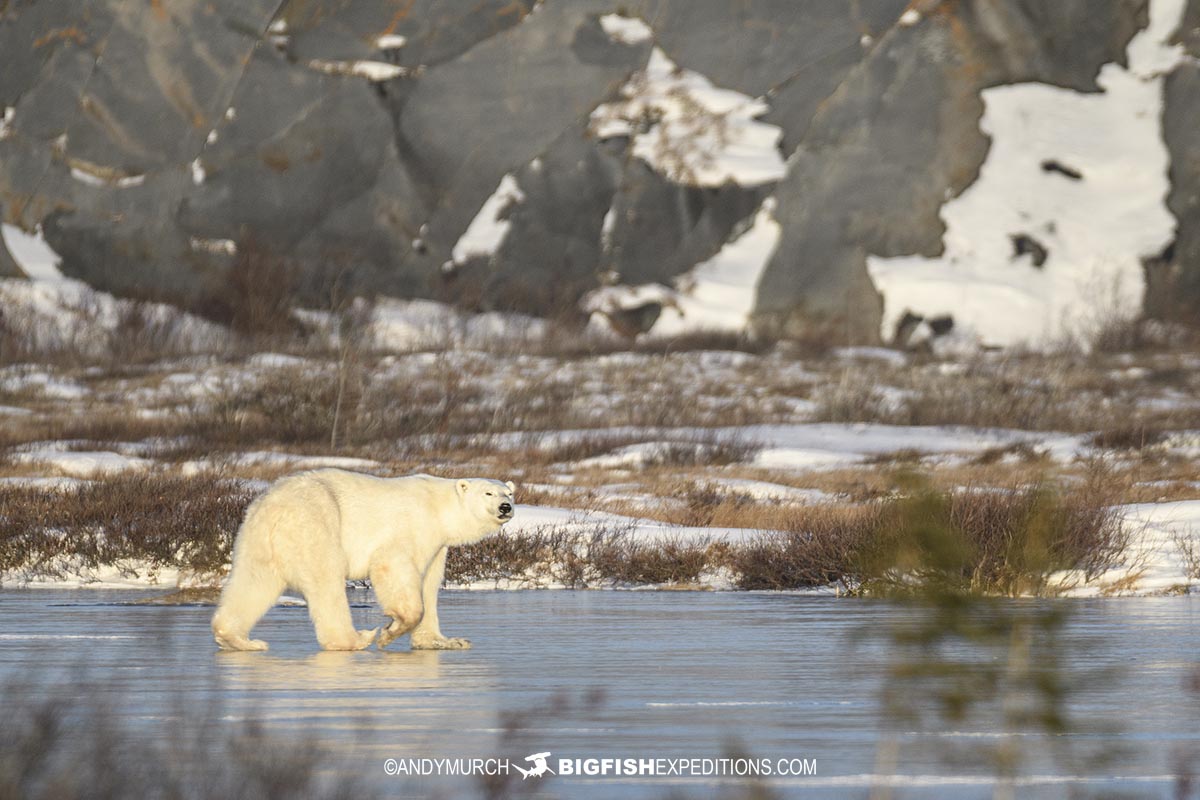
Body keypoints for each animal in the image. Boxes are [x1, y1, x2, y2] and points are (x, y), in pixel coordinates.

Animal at [211, 470, 515, 652]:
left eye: (508, 492)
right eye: (488, 493)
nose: (506, 507)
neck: (439, 508)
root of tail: (274, 508)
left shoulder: (437, 545)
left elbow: (430, 583)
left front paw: (447, 641)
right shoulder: (411, 527)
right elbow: (393, 568)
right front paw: (390, 631)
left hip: (255, 541)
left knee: (253, 584)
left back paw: (239, 639)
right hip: (317, 525)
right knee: (327, 582)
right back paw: (356, 638)